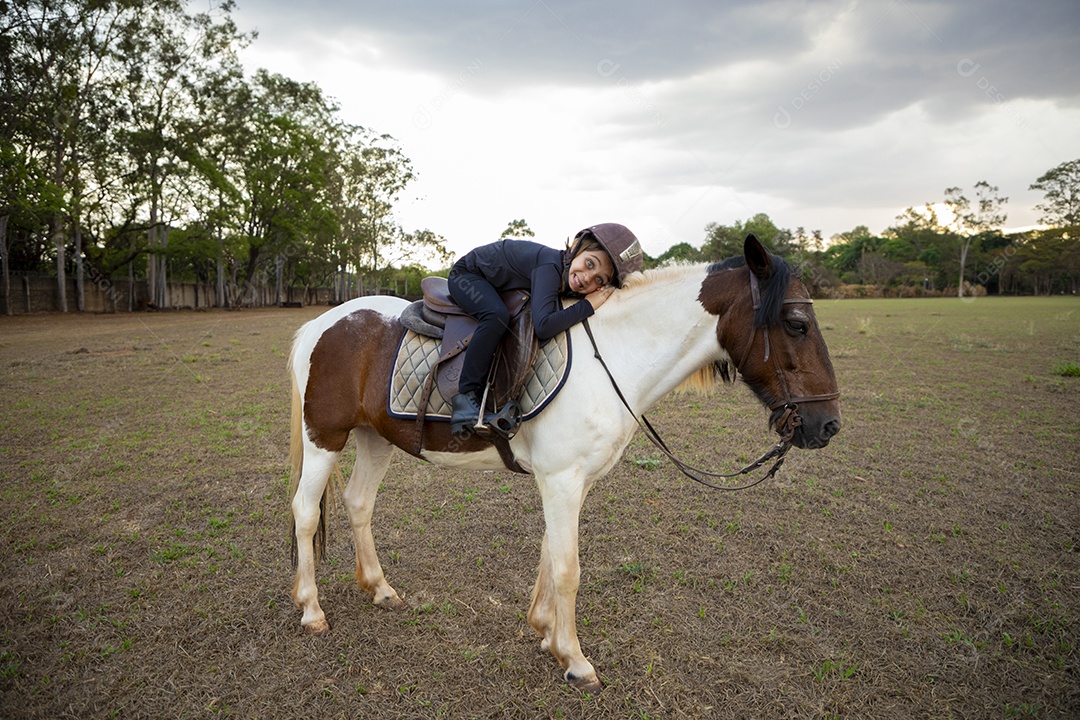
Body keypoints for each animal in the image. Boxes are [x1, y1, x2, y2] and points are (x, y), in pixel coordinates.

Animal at [289, 236, 842, 690]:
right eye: (797, 324)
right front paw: (575, 661)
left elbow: (550, 552)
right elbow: (568, 567)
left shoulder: (571, 482)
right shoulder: (560, 479)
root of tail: (321, 322)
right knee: (306, 513)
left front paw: (546, 633)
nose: (828, 425)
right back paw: (311, 610)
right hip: (325, 437)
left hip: (375, 438)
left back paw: (380, 589)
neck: (614, 358)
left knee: (358, 503)